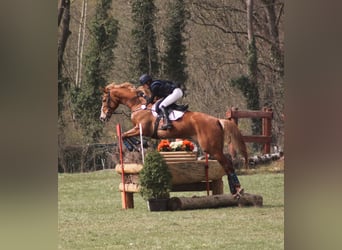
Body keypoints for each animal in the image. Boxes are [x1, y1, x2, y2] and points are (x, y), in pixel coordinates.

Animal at [100, 82, 247, 195]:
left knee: (227, 164)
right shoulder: (139, 129)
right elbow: (123, 134)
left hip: (211, 147)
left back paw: (238, 190)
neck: (138, 106)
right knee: (227, 163)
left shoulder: (142, 129)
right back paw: (235, 189)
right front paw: (139, 144)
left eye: (104, 100)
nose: (102, 117)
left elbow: (123, 134)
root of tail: (217, 120)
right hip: (214, 147)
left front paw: (136, 145)